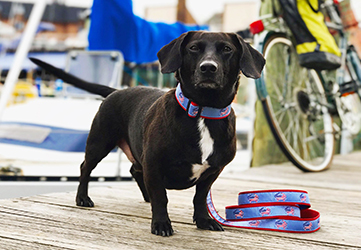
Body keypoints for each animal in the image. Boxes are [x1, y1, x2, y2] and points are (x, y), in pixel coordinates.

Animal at [29, 30, 262, 236]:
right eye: (194, 48)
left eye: (227, 49)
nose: (208, 68)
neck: (203, 111)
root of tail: (115, 91)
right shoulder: (154, 164)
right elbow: (161, 197)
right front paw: (161, 224)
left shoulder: (213, 171)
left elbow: (199, 197)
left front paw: (204, 220)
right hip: (99, 143)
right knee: (85, 167)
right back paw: (82, 198)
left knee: (134, 170)